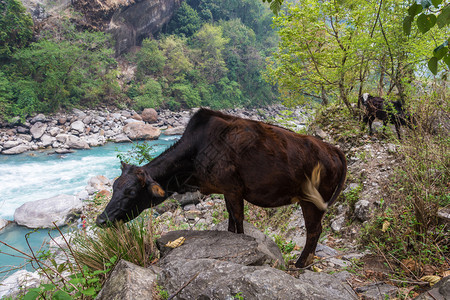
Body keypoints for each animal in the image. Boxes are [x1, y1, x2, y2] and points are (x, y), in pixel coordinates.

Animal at [96, 108, 346, 268]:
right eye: (114, 187)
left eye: (131, 192)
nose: (100, 220)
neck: (194, 155)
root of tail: (333, 149)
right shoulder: (226, 191)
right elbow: (230, 221)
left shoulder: (234, 190)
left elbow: (238, 220)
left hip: (311, 202)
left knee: (314, 230)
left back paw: (302, 263)